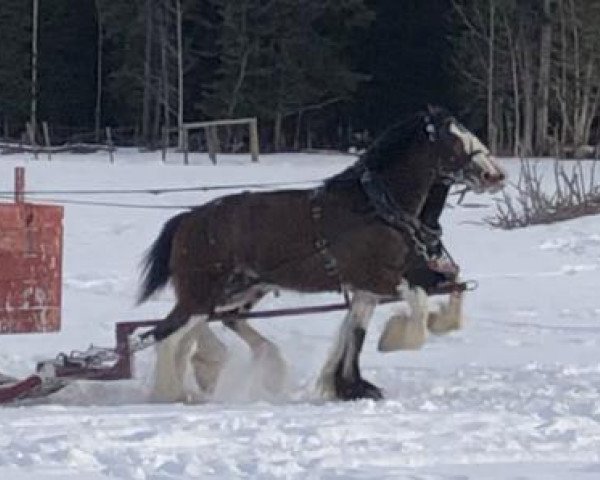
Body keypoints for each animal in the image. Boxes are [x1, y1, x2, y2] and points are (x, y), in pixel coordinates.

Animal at [137, 107, 506, 404]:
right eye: (453, 140)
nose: (495, 175)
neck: (377, 209)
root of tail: (188, 218)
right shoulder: (378, 278)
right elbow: (417, 307)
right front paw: (394, 339)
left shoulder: (370, 289)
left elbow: (357, 332)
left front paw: (350, 386)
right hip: (203, 292)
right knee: (166, 335)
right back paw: (173, 391)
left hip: (238, 290)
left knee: (208, 325)